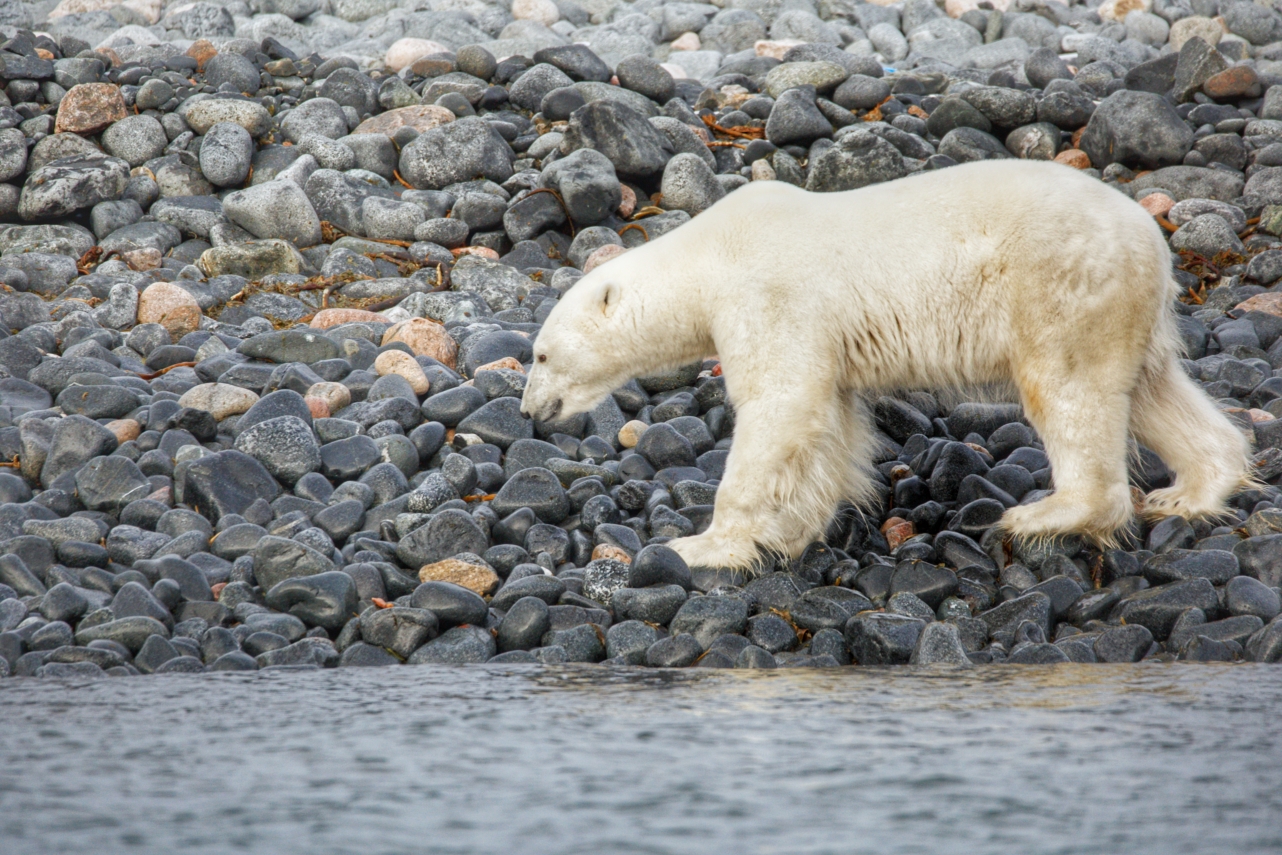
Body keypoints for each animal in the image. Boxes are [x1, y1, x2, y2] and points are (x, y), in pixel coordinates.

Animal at [517, 161, 1251, 574]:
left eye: (542, 354)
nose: (529, 409)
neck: (707, 253)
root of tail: (1151, 234)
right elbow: (828, 420)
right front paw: (793, 532)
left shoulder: (768, 294)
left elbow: (782, 404)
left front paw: (703, 546)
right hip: (1125, 307)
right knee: (1154, 388)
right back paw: (1191, 492)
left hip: (1061, 286)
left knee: (1069, 390)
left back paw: (1044, 515)